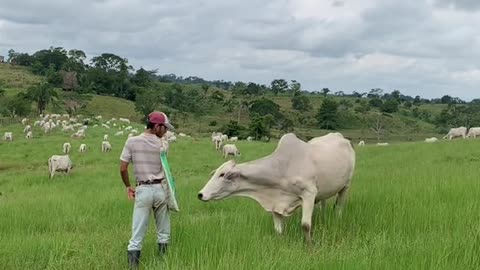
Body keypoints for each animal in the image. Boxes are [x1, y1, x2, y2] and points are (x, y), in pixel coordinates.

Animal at [197, 132, 354, 244]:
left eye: (222, 174)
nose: (200, 194)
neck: (282, 169)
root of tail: (340, 137)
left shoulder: (309, 194)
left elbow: (305, 225)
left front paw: (310, 247)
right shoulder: (276, 202)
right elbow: (278, 230)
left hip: (346, 185)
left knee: (339, 207)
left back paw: (337, 220)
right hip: (323, 192)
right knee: (323, 204)